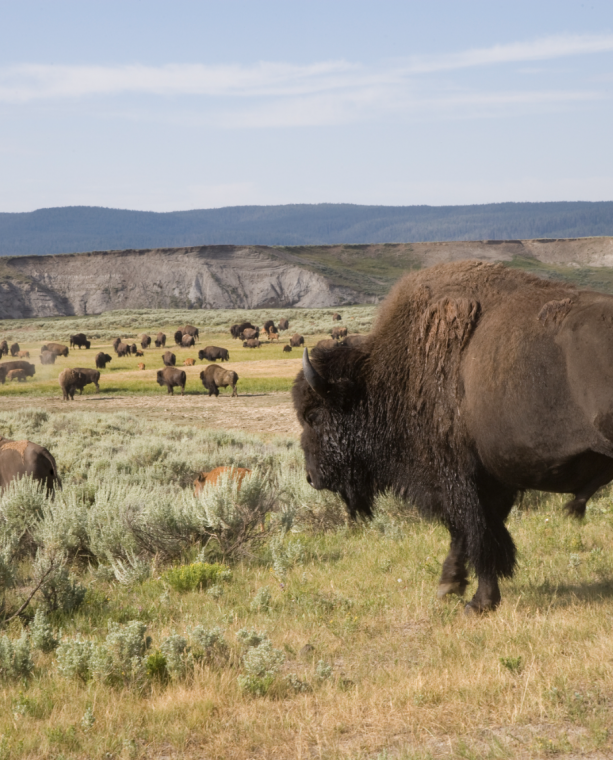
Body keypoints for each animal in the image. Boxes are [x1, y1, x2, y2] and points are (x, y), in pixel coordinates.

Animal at [292, 258, 613, 616]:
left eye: (314, 415)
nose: (311, 477)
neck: (394, 371)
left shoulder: (460, 478)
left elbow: (478, 535)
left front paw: (478, 602)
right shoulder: (487, 481)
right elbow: (471, 534)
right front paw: (449, 586)